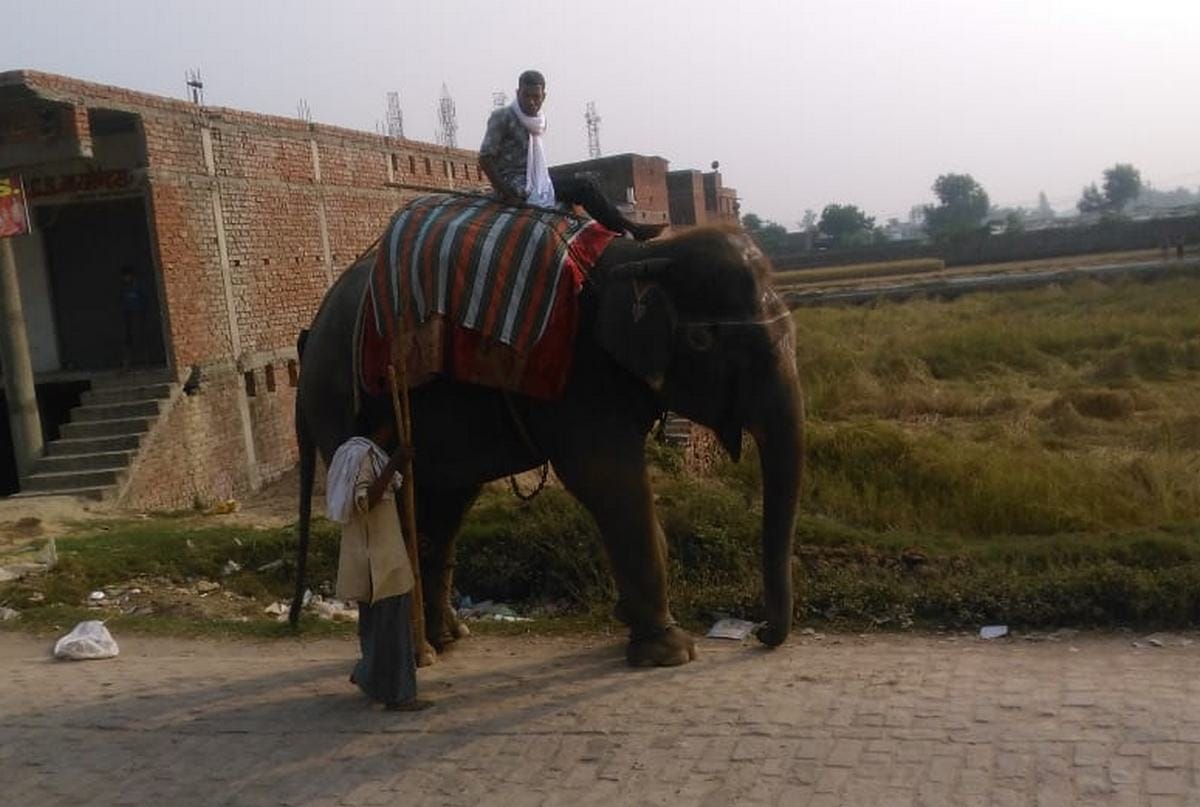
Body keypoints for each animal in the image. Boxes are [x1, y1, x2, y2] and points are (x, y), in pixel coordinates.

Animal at [289, 217, 804, 667]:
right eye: (702, 342)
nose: (761, 633)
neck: (642, 254)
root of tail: (309, 333)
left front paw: (631, 620)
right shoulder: (580, 380)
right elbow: (608, 480)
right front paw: (670, 653)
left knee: (444, 507)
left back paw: (449, 639)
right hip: (338, 401)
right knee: (393, 512)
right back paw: (418, 657)